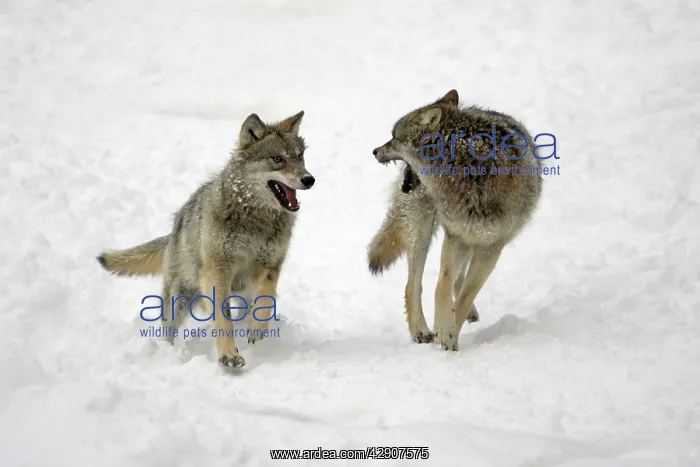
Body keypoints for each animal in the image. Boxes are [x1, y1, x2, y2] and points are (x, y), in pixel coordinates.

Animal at [97, 111, 314, 369]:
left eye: (300, 157)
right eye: (278, 159)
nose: (309, 179)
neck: (255, 219)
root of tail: (174, 228)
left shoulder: (271, 265)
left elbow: (265, 299)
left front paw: (257, 332)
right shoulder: (218, 270)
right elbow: (223, 319)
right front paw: (229, 355)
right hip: (178, 298)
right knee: (167, 330)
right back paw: (167, 353)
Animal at [370, 90, 542, 351]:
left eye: (393, 137)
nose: (374, 151)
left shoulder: (491, 246)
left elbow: (466, 294)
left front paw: (450, 336)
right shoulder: (456, 235)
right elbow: (442, 284)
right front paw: (443, 329)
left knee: (458, 283)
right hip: (422, 228)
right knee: (413, 284)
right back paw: (421, 330)